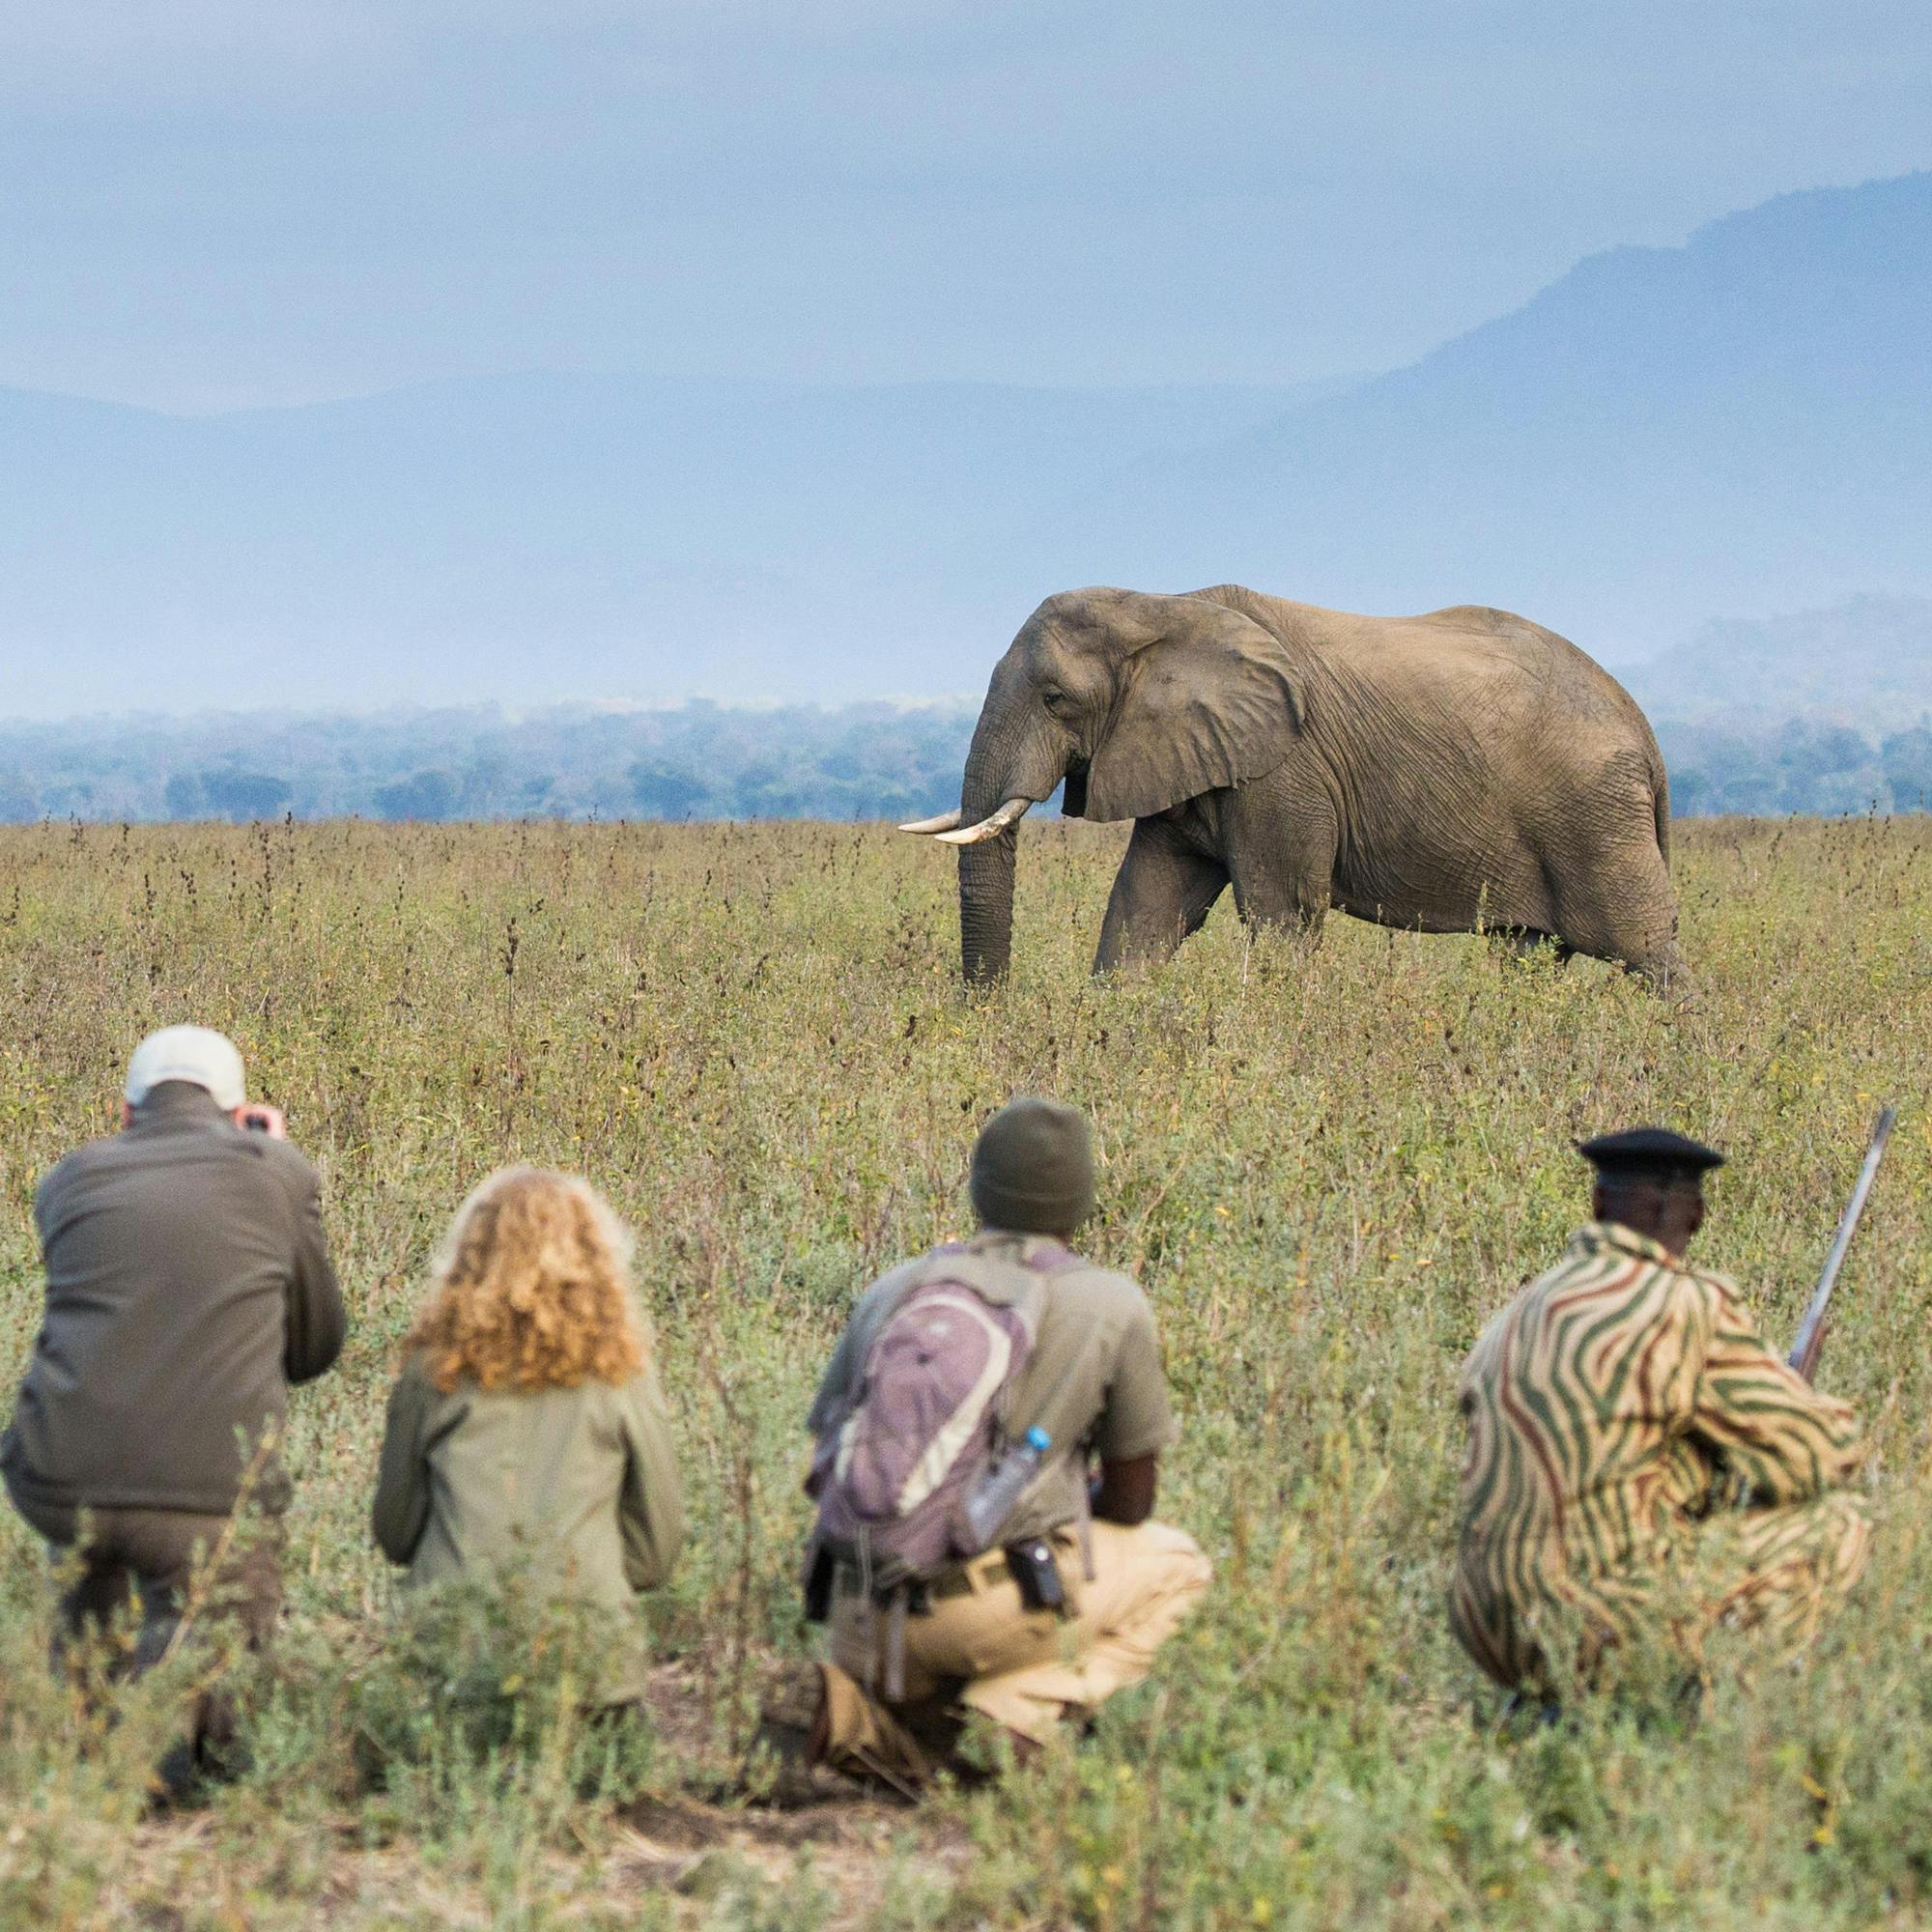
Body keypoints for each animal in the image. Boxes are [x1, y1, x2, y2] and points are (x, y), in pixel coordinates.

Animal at [900, 585, 1686, 990]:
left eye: (1056, 699)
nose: (991, 1009)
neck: (1161, 606)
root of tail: (1645, 730)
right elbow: (1146, 903)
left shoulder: (1285, 769)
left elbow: (1280, 911)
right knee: (1526, 953)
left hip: (1595, 814)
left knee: (1647, 945)